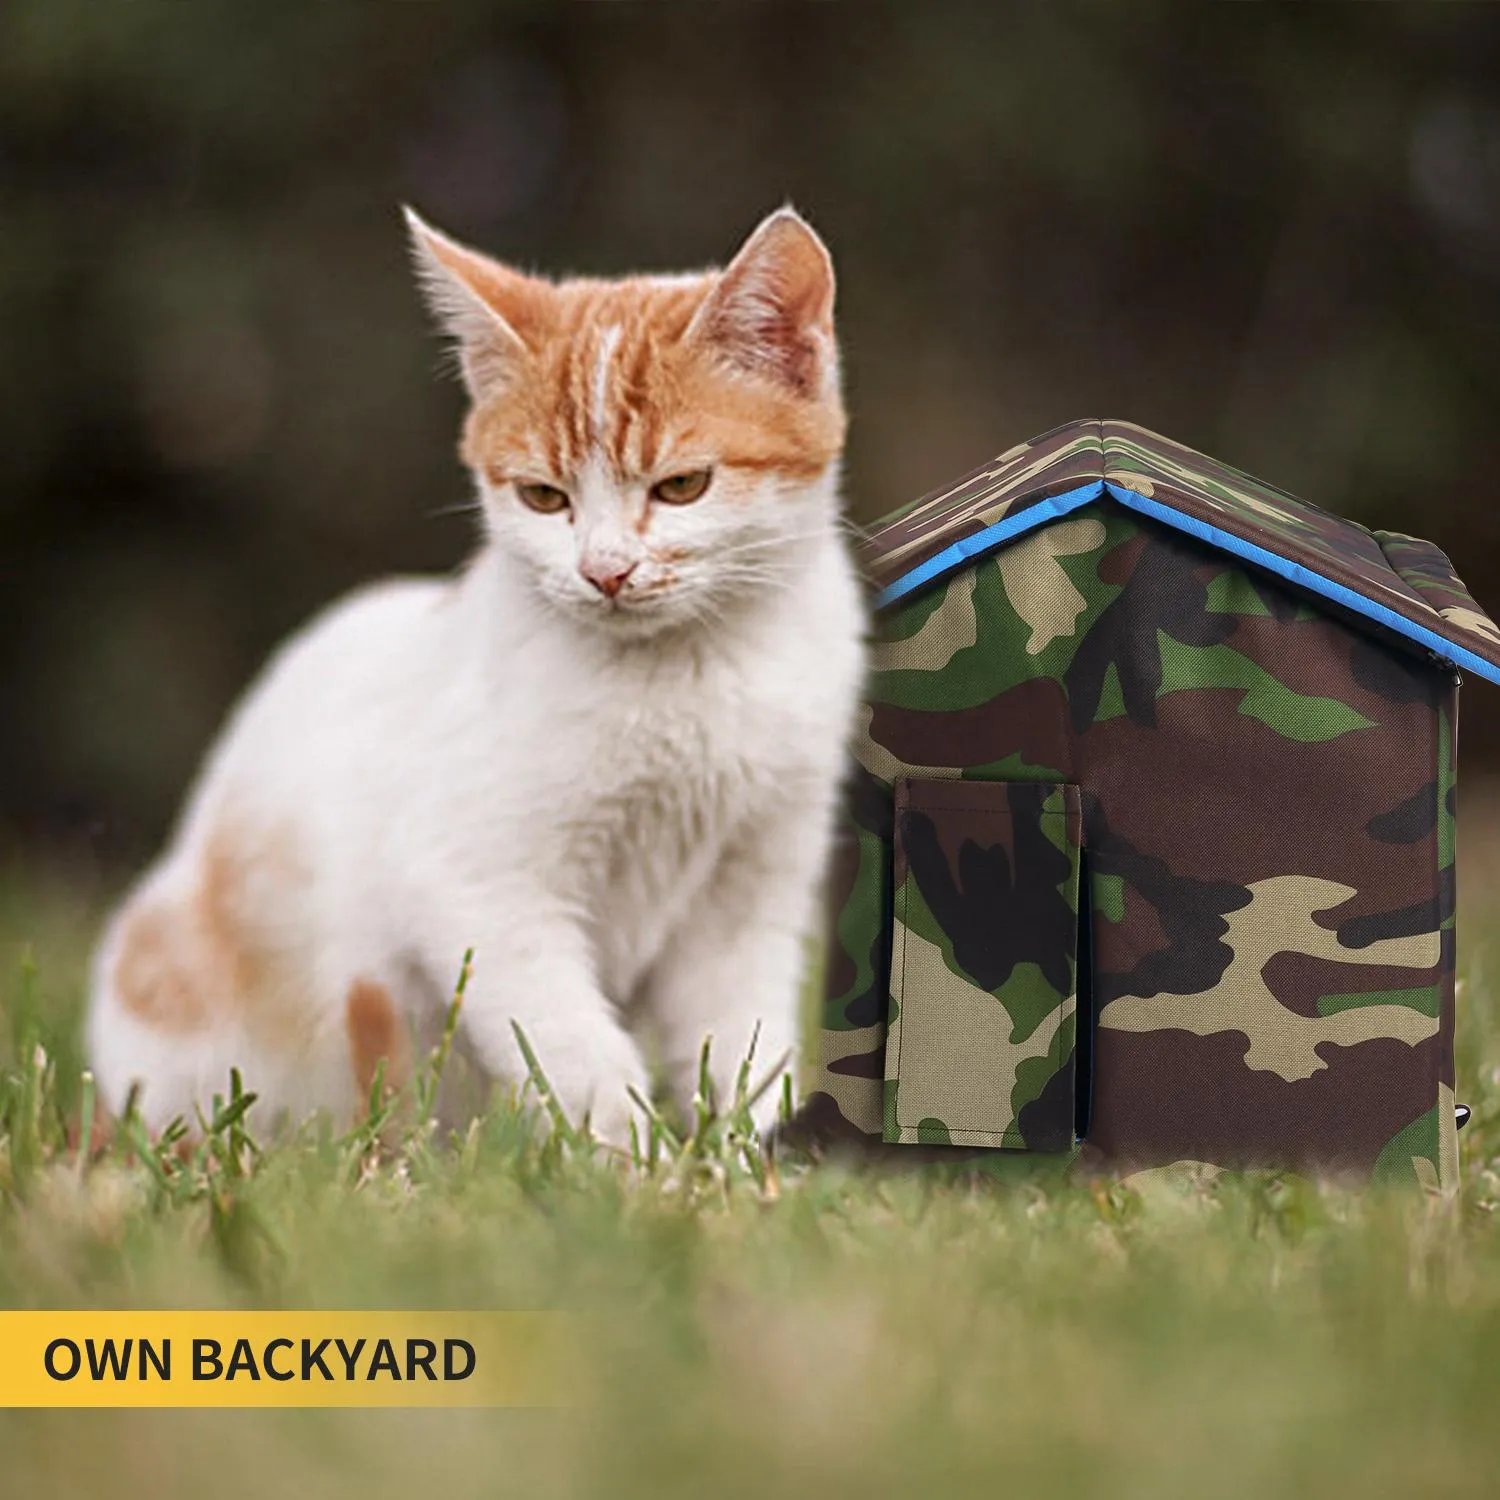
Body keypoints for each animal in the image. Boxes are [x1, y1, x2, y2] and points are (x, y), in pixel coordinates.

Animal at [87, 205, 870, 1146]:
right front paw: (627, 1153)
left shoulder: (752, 892)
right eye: (543, 498)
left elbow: (741, 1035)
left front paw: (750, 1152)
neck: (689, 671)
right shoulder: (474, 885)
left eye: (683, 485)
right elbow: (568, 1040)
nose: (605, 571)